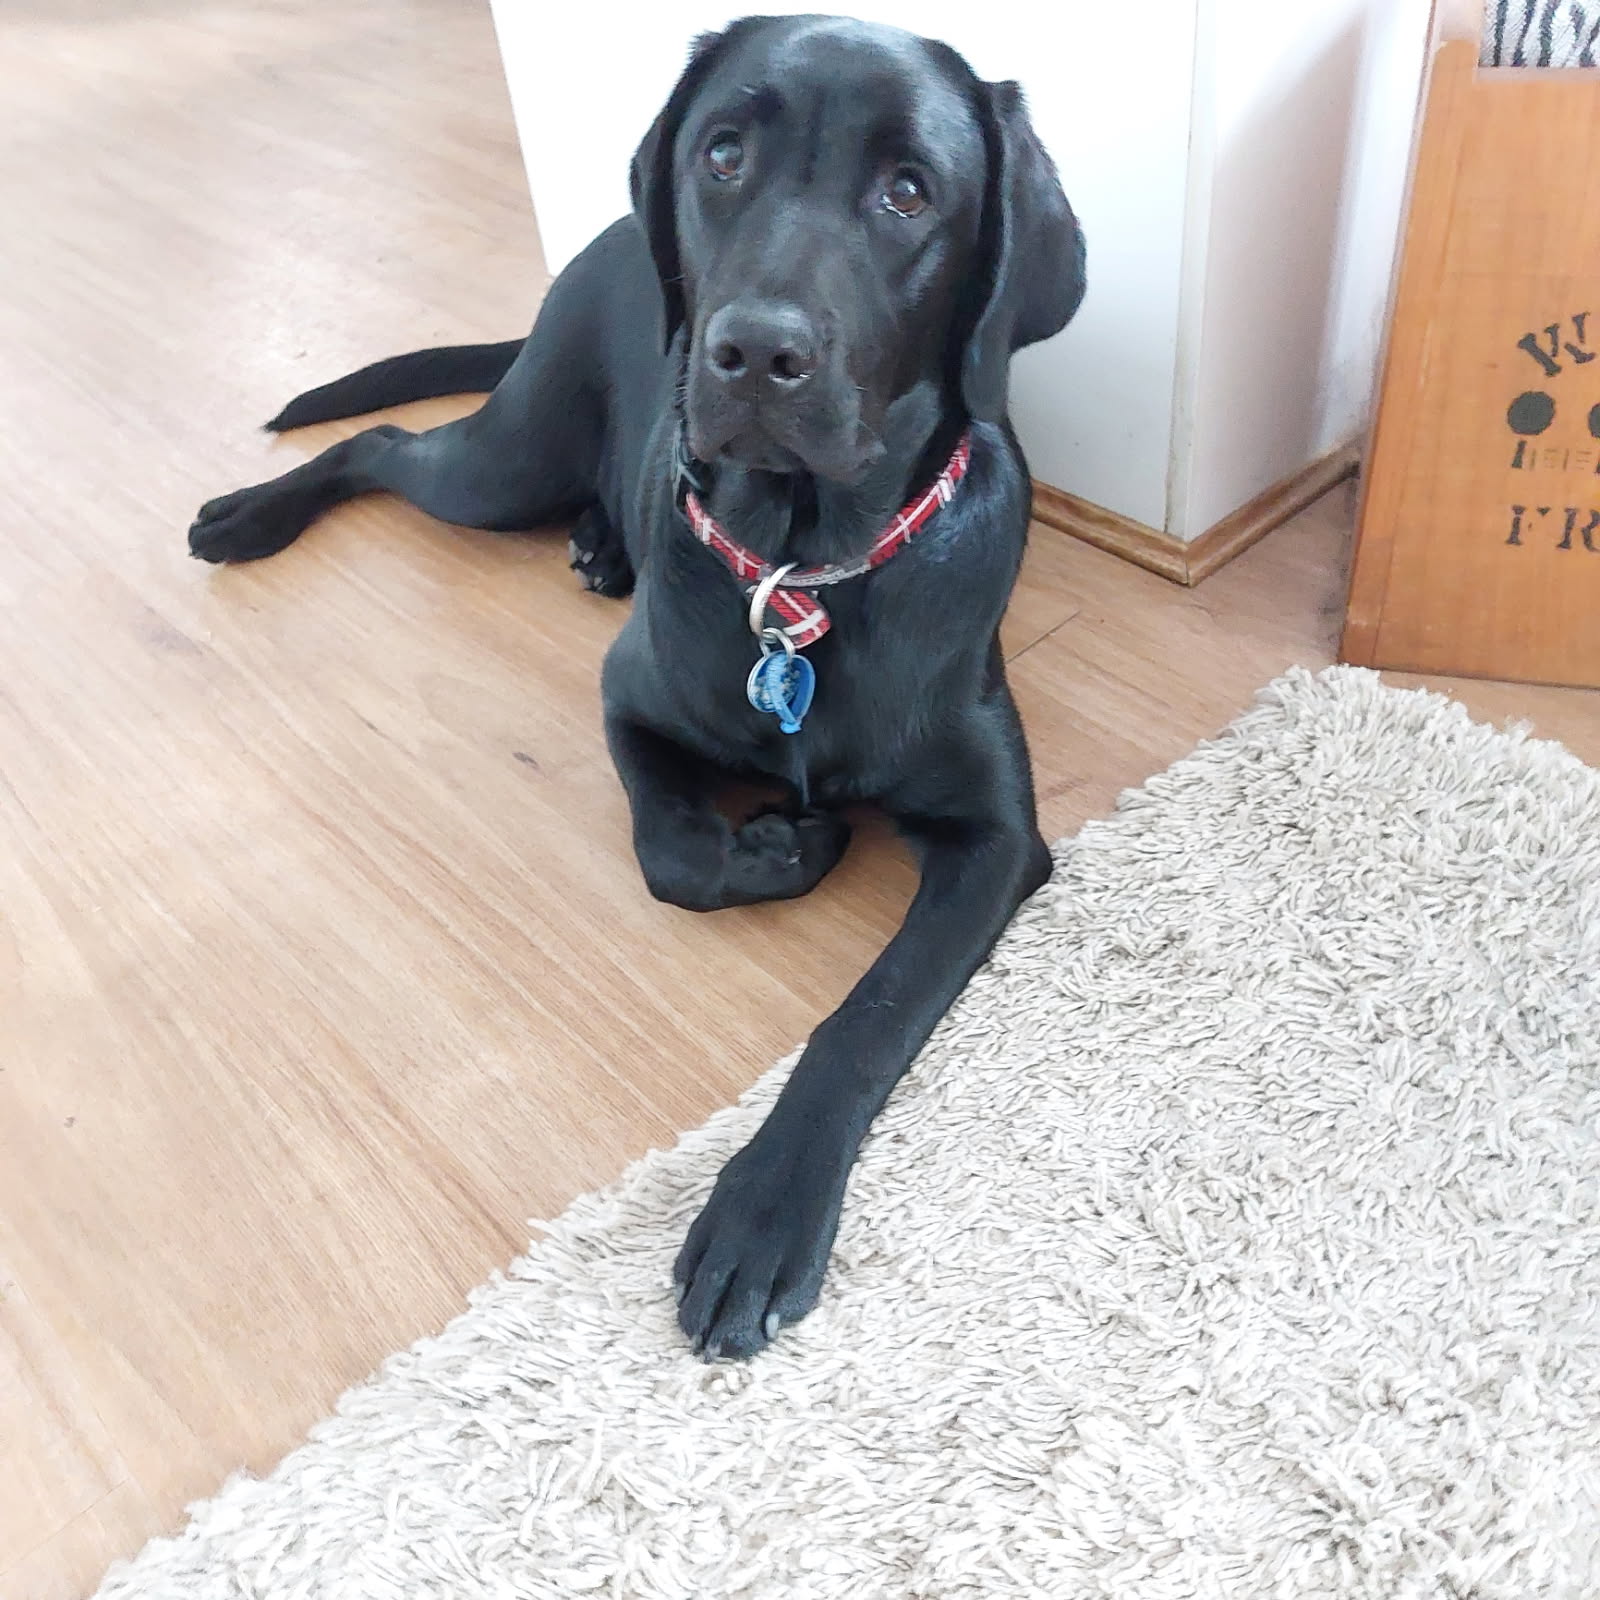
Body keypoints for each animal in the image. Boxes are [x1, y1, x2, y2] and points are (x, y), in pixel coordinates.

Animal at [190, 15, 1088, 1363]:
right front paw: (778, 846)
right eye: (722, 153)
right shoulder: (631, 699)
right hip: (505, 457)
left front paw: (761, 1212)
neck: (801, 574)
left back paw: (596, 542)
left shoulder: (994, 837)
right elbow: (673, 850)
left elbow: (866, 1012)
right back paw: (255, 515)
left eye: (908, 191)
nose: (755, 351)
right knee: (383, 446)